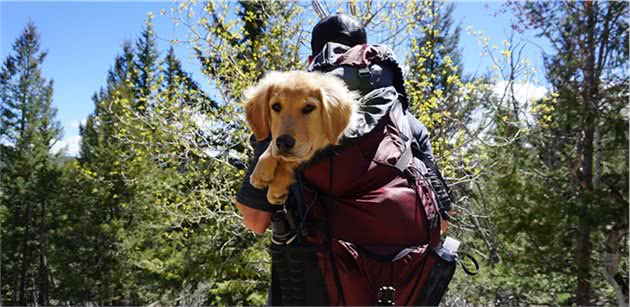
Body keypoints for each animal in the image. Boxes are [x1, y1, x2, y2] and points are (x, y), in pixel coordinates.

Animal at [244, 70, 358, 205]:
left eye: (309, 108)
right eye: (276, 106)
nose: (284, 142)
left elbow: (296, 158)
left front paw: (277, 185)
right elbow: (275, 147)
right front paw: (262, 169)